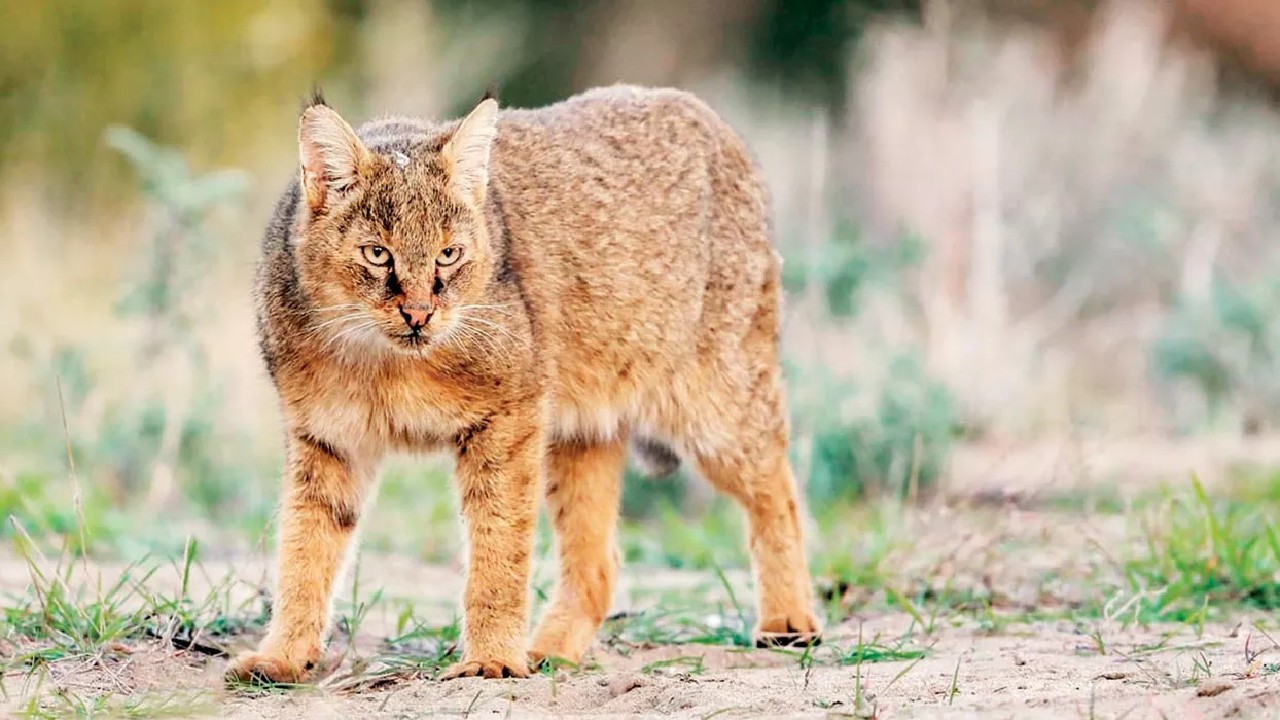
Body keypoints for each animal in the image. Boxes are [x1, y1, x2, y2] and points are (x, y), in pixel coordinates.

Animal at [226, 82, 819, 676]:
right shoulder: (327, 436)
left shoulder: (507, 418)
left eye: (448, 255)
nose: (419, 314)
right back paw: (547, 653)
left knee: (779, 484)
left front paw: (491, 662)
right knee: (600, 563)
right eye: (377, 254)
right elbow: (304, 546)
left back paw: (789, 620)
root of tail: (701, 111)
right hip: (584, 429)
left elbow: (499, 544)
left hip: (713, 405)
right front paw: (281, 656)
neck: (382, 362)